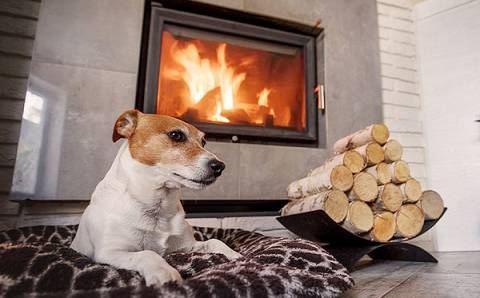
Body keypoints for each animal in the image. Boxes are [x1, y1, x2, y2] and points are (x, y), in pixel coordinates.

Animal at [71, 110, 242, 286]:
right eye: (176, 135)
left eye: (204, 142)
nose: (220, 166)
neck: (158, 206)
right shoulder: (109, 252)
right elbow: (147, 253)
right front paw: (165, 271)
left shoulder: (187, 246)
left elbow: (214, 241)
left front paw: (234, 255)